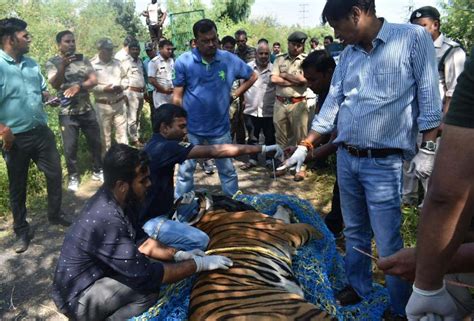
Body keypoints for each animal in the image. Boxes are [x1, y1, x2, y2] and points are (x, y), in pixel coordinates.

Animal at [187, 205, 336, 320]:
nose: (285, 204)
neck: (210, 220)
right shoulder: (285, 228)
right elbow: (309, 228)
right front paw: (323, 235)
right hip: (298, 308)